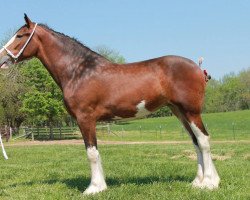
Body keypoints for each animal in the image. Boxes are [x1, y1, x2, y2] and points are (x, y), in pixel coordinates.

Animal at [0, 14, 219, 195]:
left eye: (20, 35)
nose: (2, 58)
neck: (79, 72)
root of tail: (198, 68)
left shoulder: (85, 119)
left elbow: (91, 153)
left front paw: (94, 188)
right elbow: (95, 152)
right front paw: (100, 185)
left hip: (191, 111)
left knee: (203, 140)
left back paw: (209, 183)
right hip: (179, 111)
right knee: (196, 141)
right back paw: (198, 182)